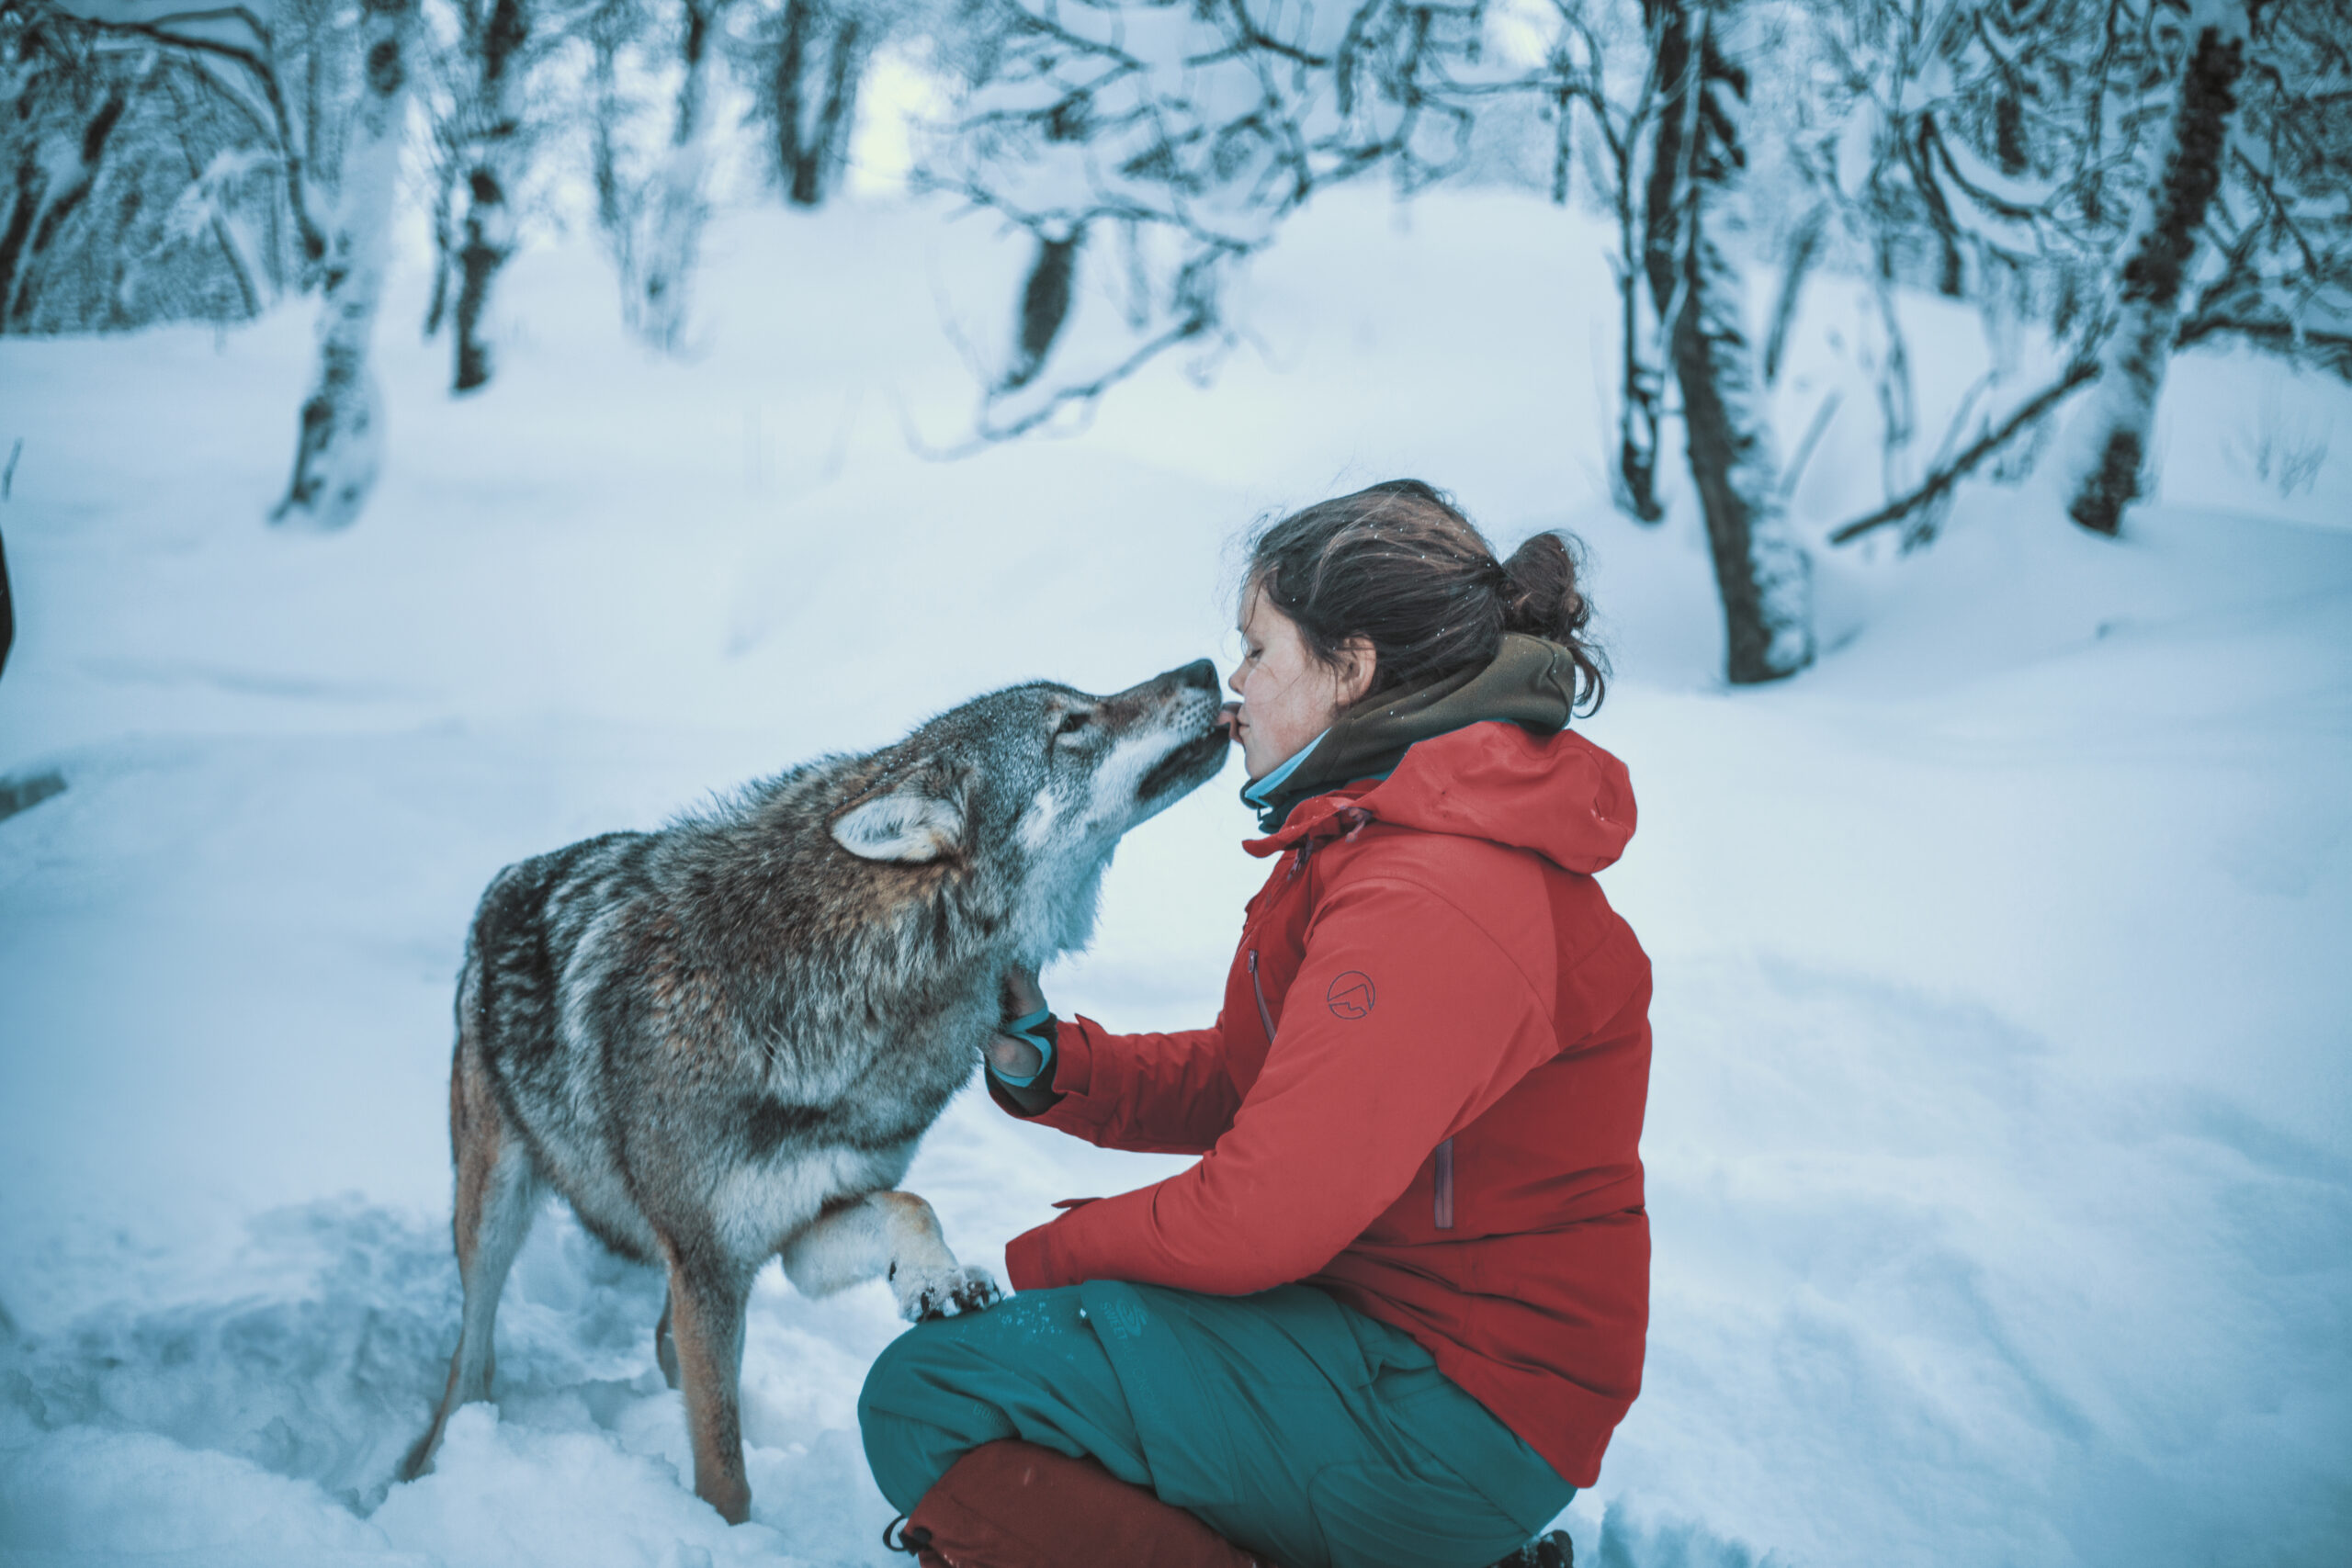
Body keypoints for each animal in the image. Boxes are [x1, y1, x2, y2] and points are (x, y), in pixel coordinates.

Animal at [400, 658, 1232, 1523]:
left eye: (1086, 705)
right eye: (1071, 727)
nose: (1205, 667)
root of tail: (512, 875)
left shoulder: (800, 1230)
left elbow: (911, 1203)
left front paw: (938, 1280)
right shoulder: (708, 1262)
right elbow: (724, 1470)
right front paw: (727, 1534)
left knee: (660, 1343)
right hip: (495, 1213)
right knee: (473, 1361)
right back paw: (435, 1466)